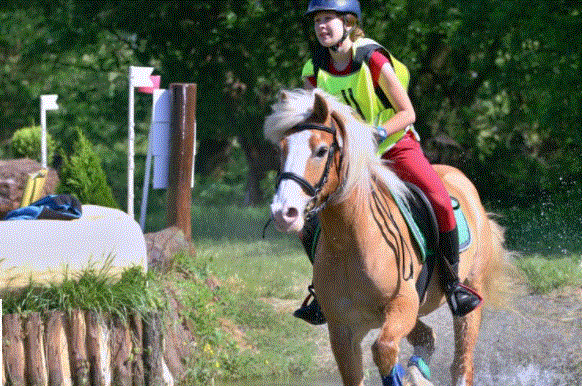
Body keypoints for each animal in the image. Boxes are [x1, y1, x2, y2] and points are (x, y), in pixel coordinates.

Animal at [264, 89, 512, 386]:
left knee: (461, 363)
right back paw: (418, 371)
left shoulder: (401, 305)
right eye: (282, 149)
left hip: (469, 291)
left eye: (321, 151)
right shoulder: (343, 331)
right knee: (427, 337)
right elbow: (357, 371)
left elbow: (383, 350)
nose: (283, 212)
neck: (350, 242)